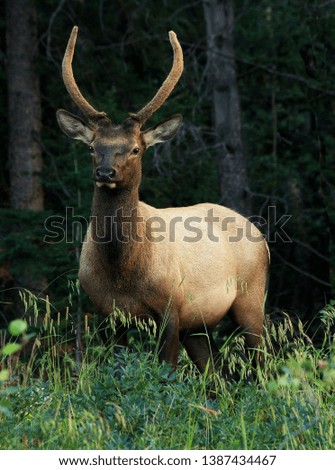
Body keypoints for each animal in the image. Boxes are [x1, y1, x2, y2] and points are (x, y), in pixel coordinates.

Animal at [55, 26, 270, 378]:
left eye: (135, 149)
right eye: (91, 147)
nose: (105, 172)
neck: (123, 272)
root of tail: (262, 237)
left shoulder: (171, 309)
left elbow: (166, 374)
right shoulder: (109, 314)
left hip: (251, 297)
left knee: (263, 364)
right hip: (198, 324)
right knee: (216, 375)